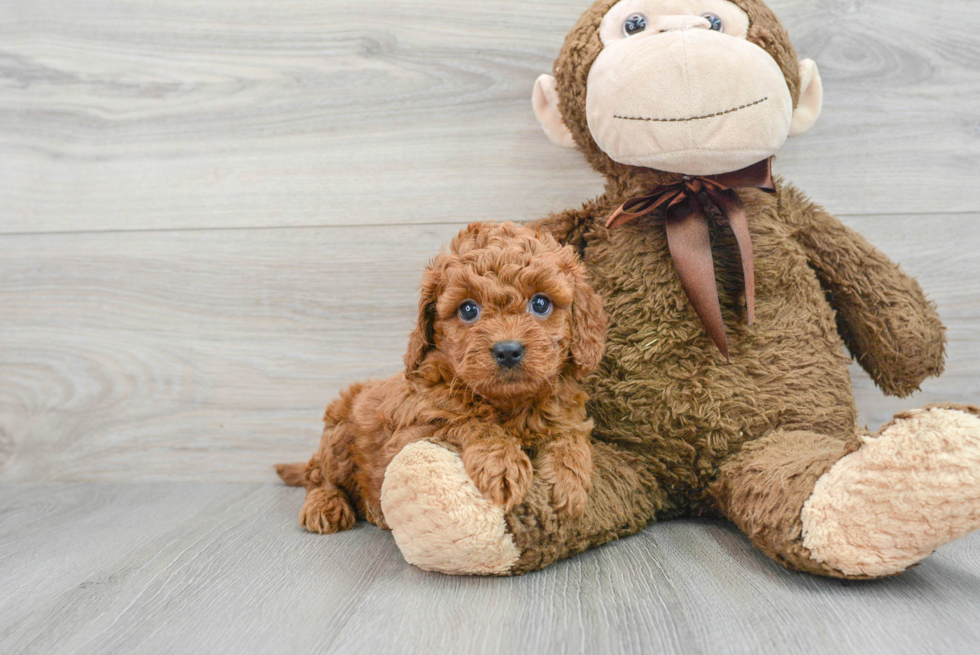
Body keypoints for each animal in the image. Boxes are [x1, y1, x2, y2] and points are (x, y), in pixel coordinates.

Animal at [276, 220, 604, 532]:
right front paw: (502, 463)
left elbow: (570, 437)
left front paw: (567, 482)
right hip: (339, 436)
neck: (507, 404)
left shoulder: (565, 415)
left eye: (540, 303)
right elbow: (466, 421)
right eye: (468, 310)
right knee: (319, 477)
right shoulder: (410, 433)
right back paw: (326, 505)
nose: (508, 350)